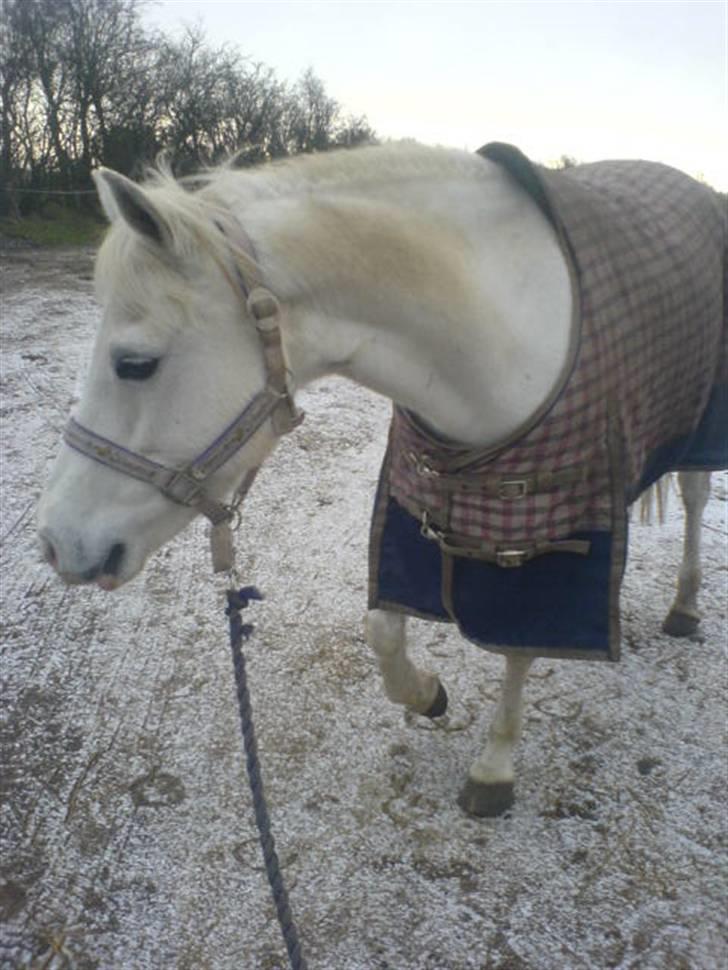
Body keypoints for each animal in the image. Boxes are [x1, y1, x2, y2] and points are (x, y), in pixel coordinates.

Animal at [37, 141, 726, 817]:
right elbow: (383, 630)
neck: (499, 326)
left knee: (694, 499)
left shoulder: (543, 541)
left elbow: (518, 647)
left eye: (135, 364)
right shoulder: (413, 513)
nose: (54, 544)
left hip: (698, 438)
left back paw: (685, 605)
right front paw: (426, 694)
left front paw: (494, 767)